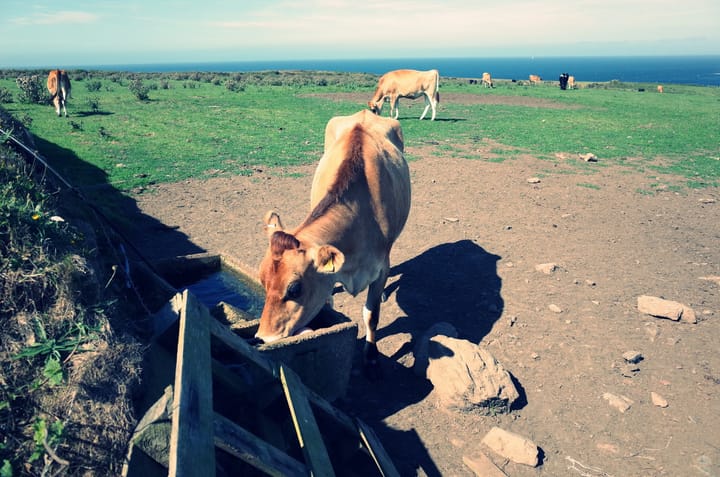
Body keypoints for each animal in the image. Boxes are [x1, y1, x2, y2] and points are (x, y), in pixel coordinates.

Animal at [256, 109, 411, 376]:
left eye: (294, 288)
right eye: (262, 280)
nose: (264, 338)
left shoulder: (381, 266)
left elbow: (371, 314)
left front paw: (371, 358)